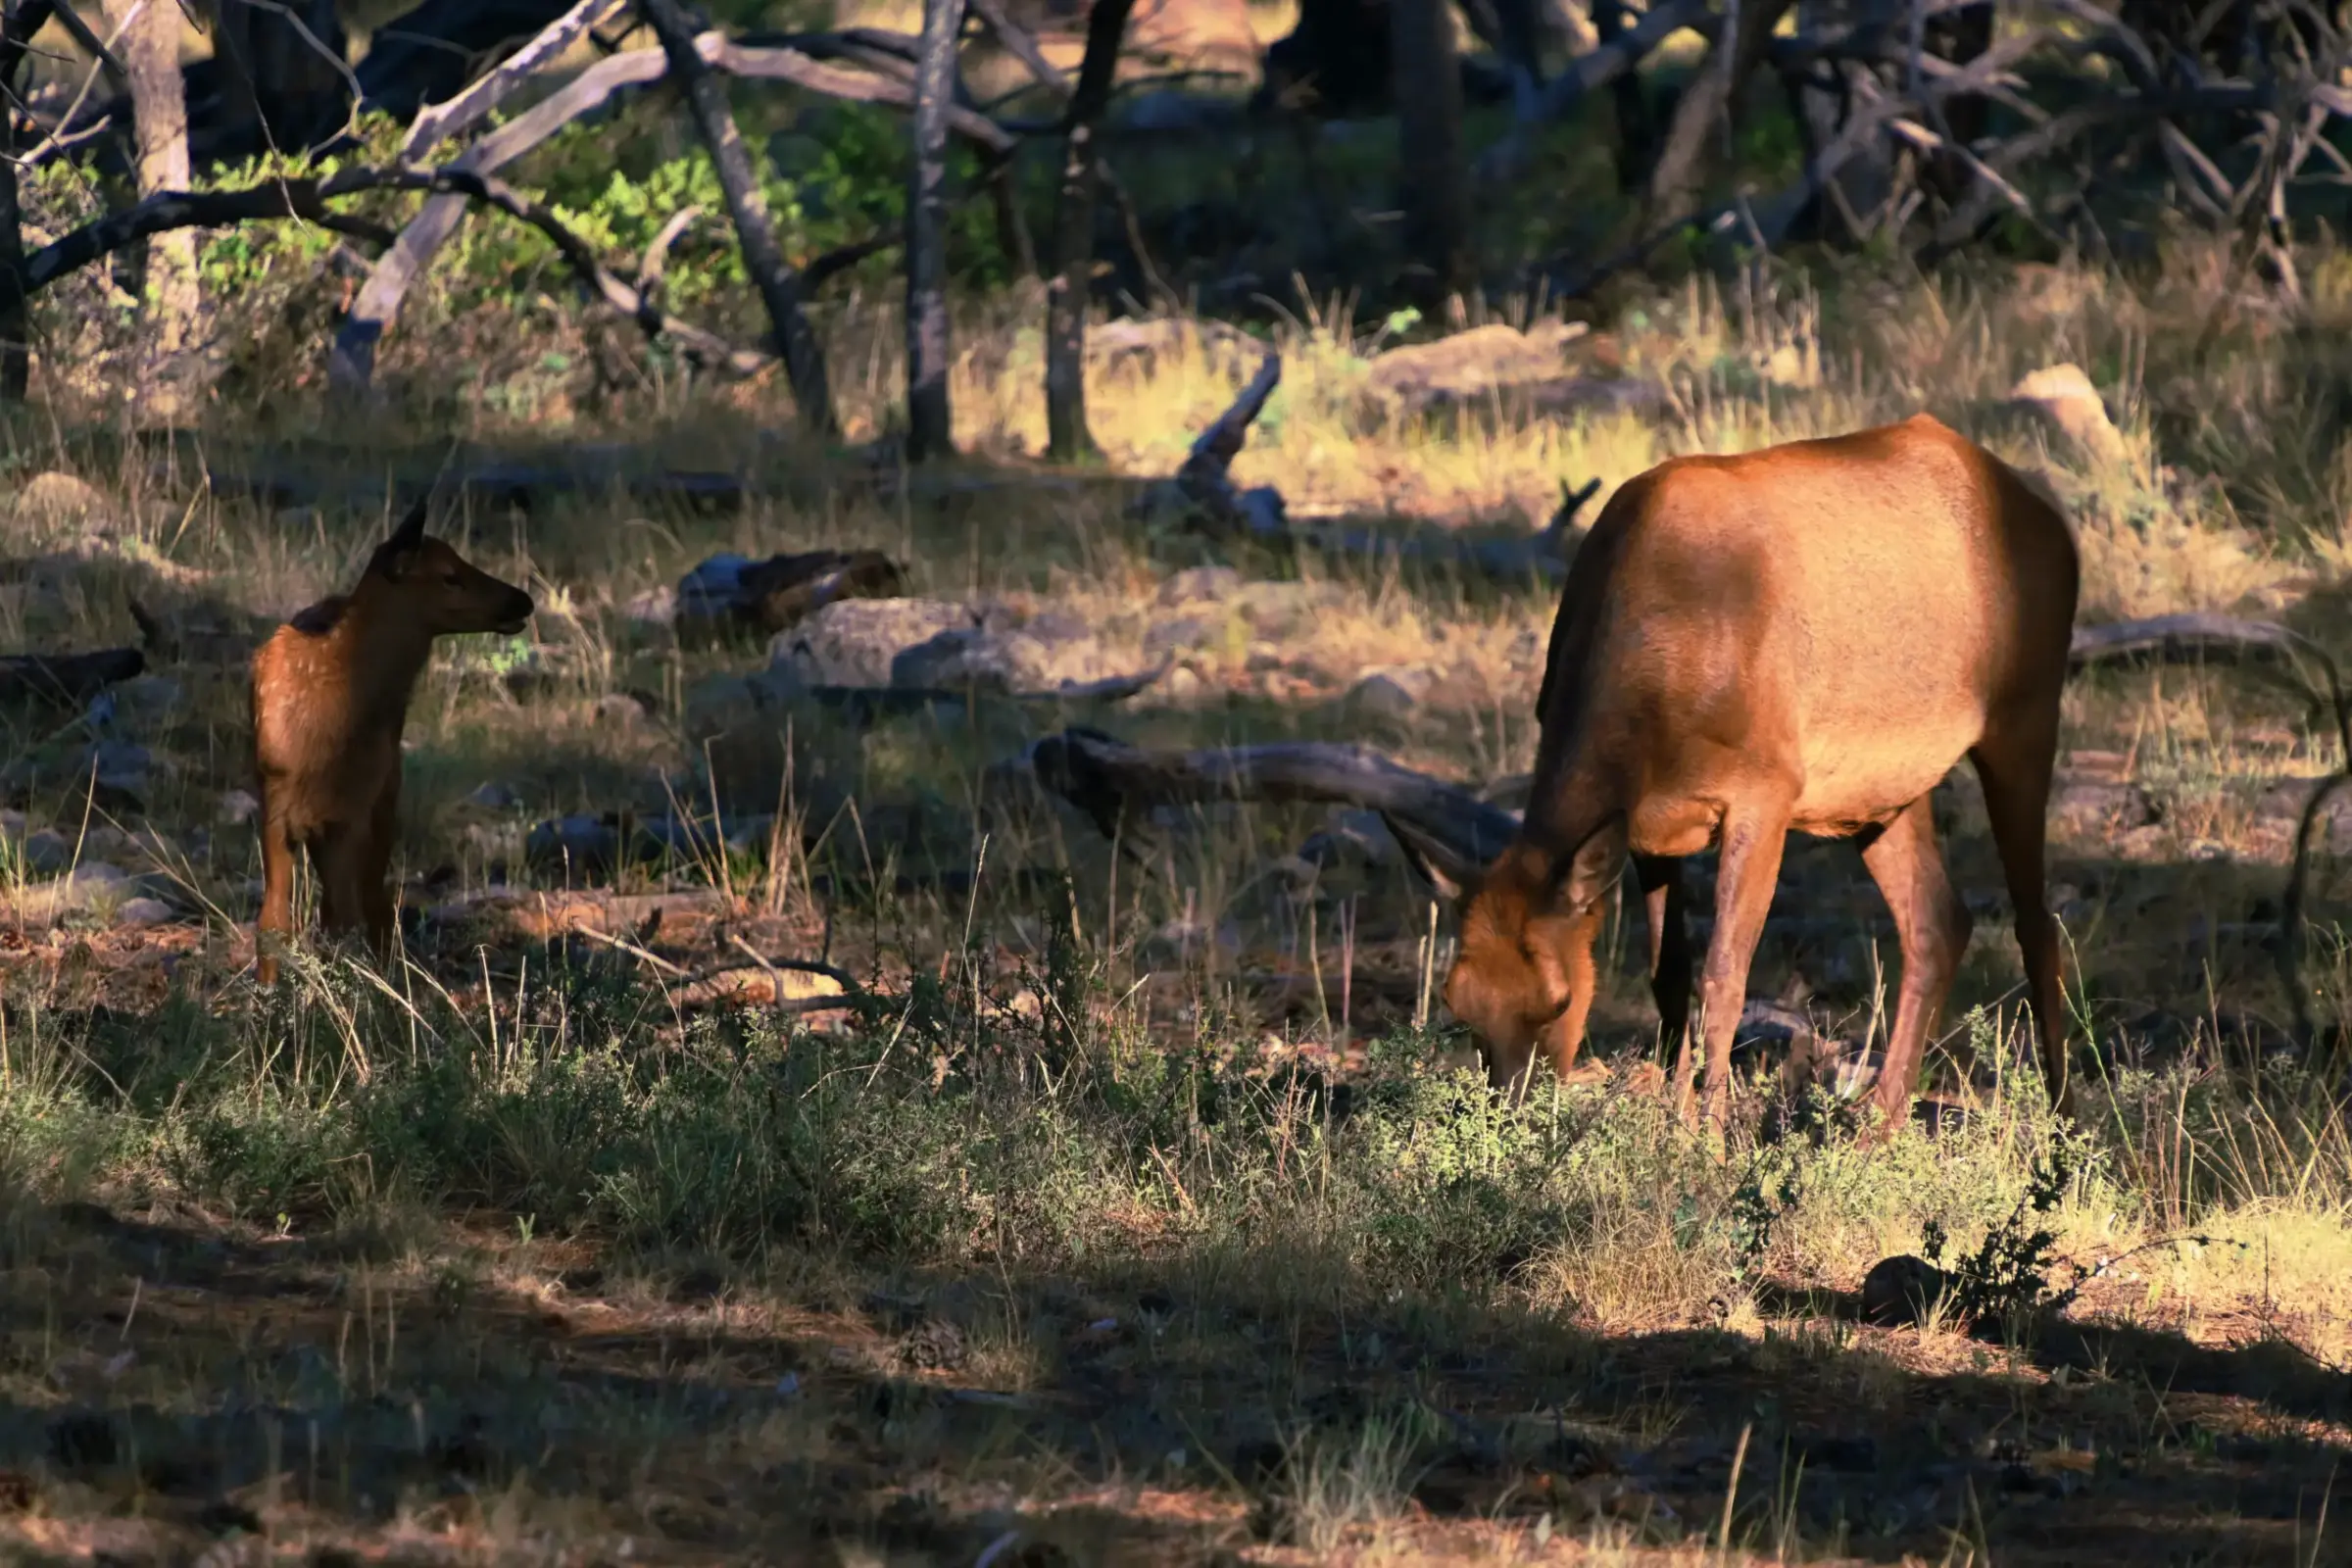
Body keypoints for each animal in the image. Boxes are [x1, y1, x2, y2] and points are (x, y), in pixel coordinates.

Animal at [251, 496, 534, 985]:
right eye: (449, 574)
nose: (524, 599)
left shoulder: (350, 812)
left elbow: (339, 916)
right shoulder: (278, 809)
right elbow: (274, 921)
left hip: (380, 796)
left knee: (371, 904)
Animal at [1388, 413, 2080, 1141]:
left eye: (1559, 999)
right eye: (1457, 1003)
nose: (1505, 1120)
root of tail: (2053, 521)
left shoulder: (1766, 787)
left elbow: (1725, 977)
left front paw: (1709, 1140)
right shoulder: (1650, 825)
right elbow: (1668, 975)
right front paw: (1672, 1120)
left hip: (2025, 712)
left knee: (2036, 925)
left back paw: (2064, 1127)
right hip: (1881, 792)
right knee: (1939, 921)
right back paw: (1880, 1124)